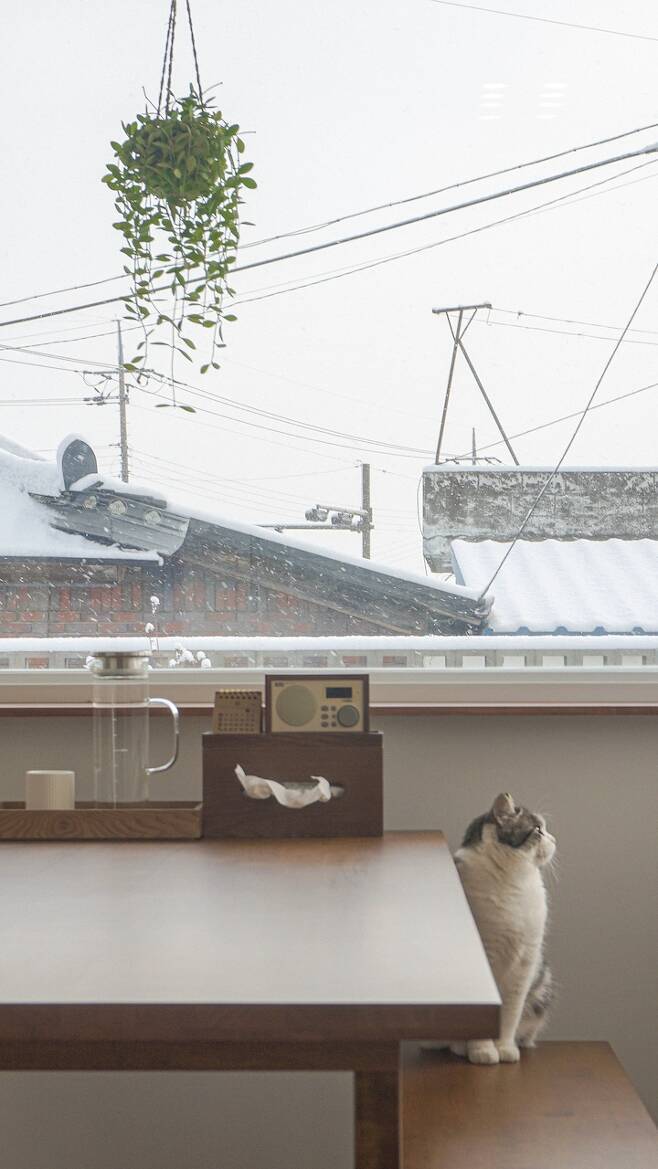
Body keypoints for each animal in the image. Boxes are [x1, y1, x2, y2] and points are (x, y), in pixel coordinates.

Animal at [451, 791, 556, 1065]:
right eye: (538, 829)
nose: (554, 839)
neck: (513, 881)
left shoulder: (525, 964)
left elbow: (510, 1014)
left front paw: (505, 1048)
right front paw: (483, 1051)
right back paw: (460, 1047)